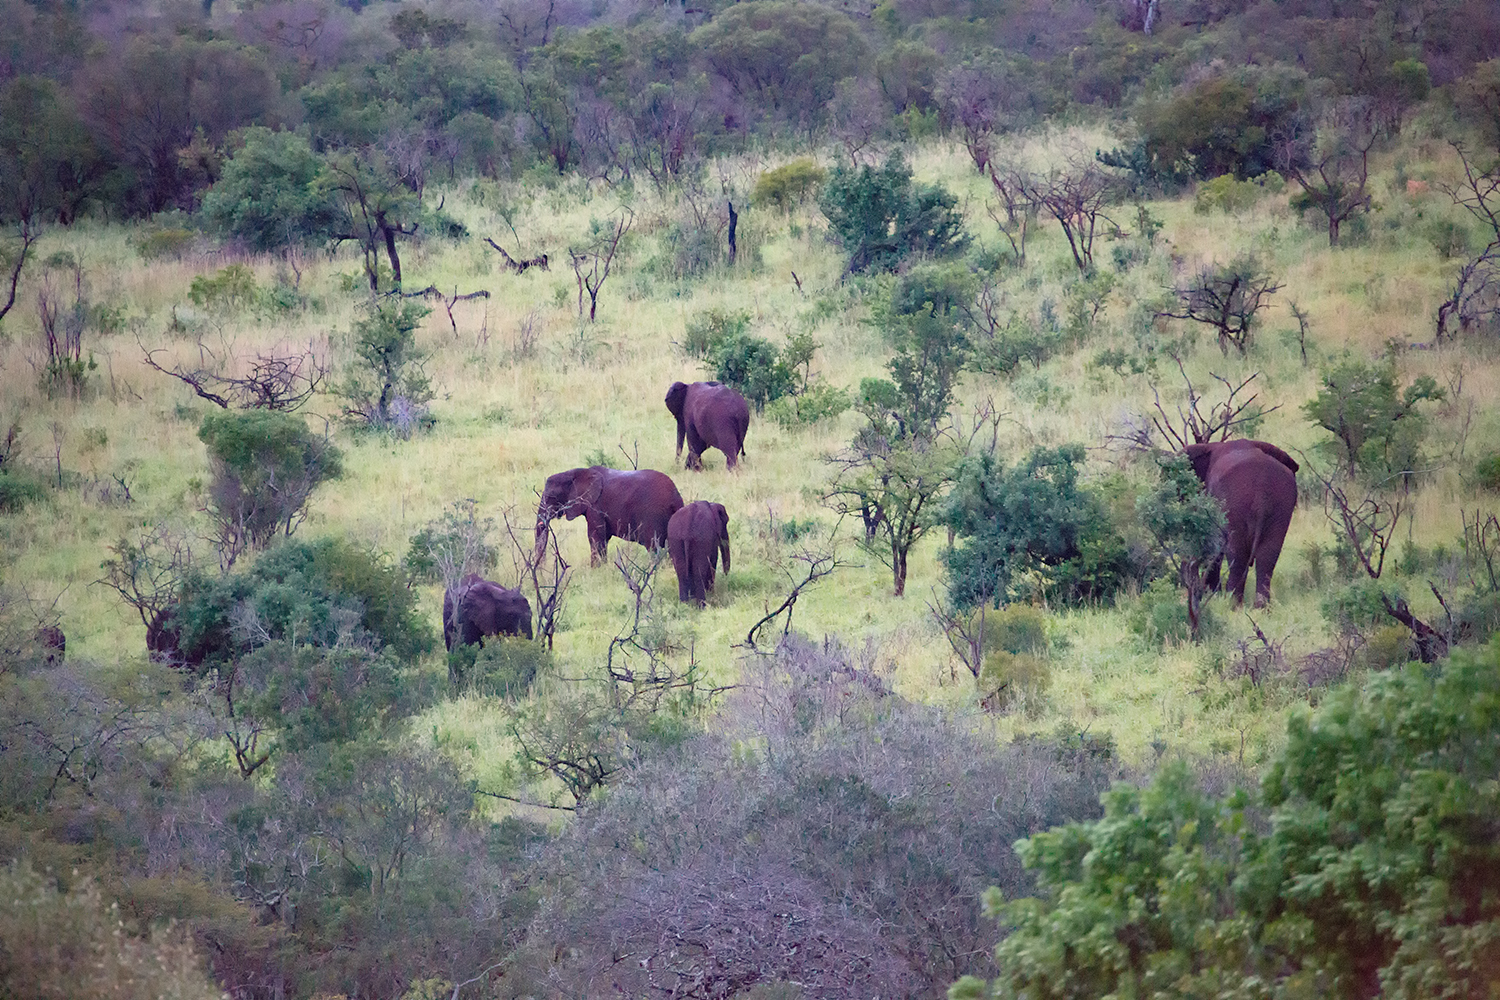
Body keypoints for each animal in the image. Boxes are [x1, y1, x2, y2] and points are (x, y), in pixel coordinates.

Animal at [534, 467, 687, 566]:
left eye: (551, 497)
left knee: (653, 547)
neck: (573, 472)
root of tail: (676, 498)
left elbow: (595, 537)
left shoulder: (595, 505)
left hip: (652, 515)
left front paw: (596, 570)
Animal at [1182, 440, 1302, 611]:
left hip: (1233, 503)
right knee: (1268, 556)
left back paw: (1233, 606)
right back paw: (1261, 609)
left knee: (1237, 555)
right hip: (1282, 505)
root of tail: (1262, 490)